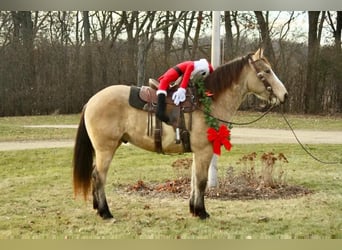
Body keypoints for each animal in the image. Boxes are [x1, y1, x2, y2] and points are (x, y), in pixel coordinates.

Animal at [73, 48, 288, 219]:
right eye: (267, 71)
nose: (284, 95)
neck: (207, 103)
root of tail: (91, 100)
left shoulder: (198, 152)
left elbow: (194, 180)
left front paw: (193, 209)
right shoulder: (204, 151)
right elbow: (201, 181)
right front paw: (201, 212)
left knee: (95, 175)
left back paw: (98, 208)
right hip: (105, 149)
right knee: (99, 176)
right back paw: (105, 212)